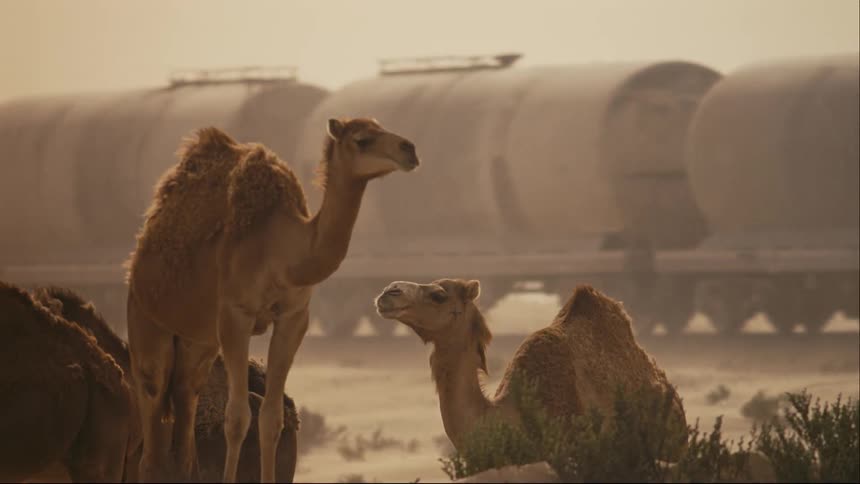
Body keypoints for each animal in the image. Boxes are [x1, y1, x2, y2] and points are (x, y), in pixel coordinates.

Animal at [125, 118, 420, 482]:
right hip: (146, 319)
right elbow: (237, 418)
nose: (410, 149)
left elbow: (271, 419)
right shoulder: (236, 315)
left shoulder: (294, 316)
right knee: (151, 413)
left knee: (185, 403)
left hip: (198, 342)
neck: (281, 249)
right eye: (362, 139)